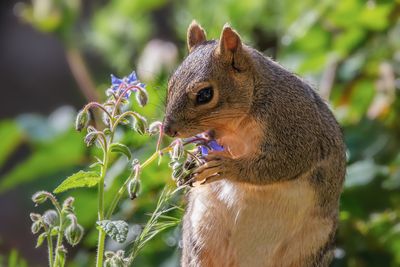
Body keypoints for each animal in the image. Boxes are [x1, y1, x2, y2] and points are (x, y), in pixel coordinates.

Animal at [162, 21, 346, 267]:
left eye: (205, 94)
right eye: (170, 85)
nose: (168, 129)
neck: (236, 124)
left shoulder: (297, 129)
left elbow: (282, 164)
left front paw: (225, 166)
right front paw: (190, 163)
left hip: (309, 250)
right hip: (201, 236)